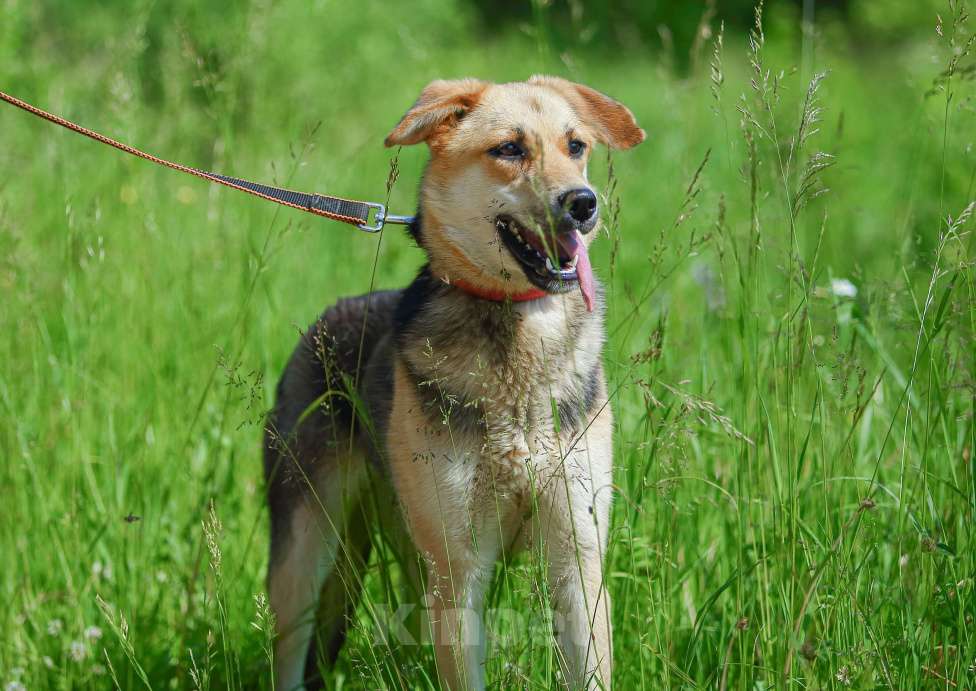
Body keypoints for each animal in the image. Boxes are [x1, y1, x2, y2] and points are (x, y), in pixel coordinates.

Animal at [264, 75, 644, 691]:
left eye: (577, 146)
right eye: (509, 149)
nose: (584, 203)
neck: (517, 330)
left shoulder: (578, 562)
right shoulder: (460, 572)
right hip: (305, 551)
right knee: (291, 648)